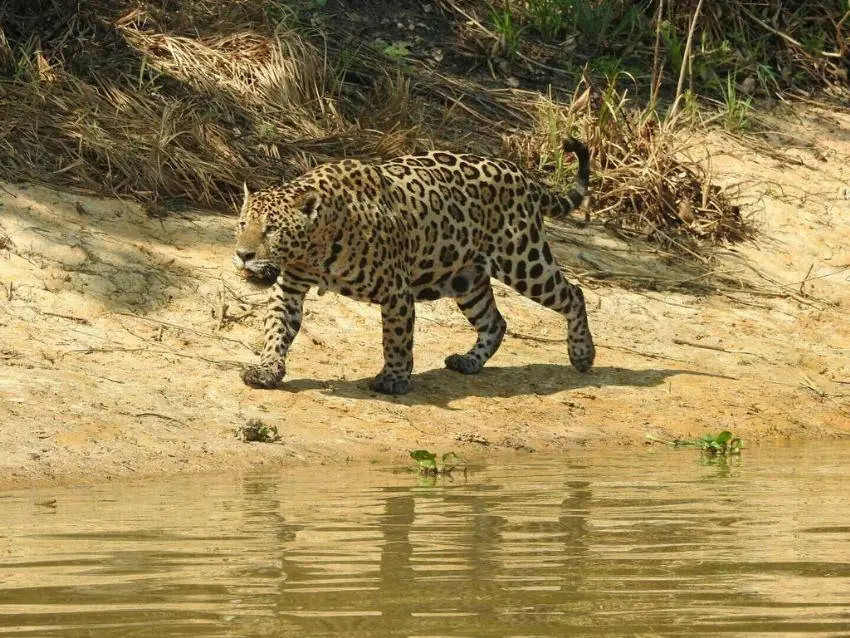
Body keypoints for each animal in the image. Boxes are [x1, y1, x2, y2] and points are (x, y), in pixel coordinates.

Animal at [233, 137, 595, 395]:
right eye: (242, 224)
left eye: (271, 230)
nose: (242, 254)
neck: (317, 246)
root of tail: (524, 175)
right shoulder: (290, 286)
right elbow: (277, 328)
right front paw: (266, 370)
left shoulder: (396, 291)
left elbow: (396, 338)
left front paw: (393, 379)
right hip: (466, 279)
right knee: (495, 322)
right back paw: (469, 361)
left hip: (523, 260)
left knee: (573, 294)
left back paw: (582, 354)